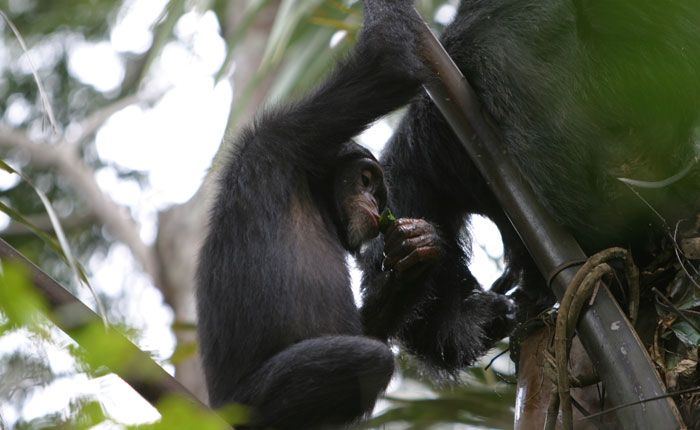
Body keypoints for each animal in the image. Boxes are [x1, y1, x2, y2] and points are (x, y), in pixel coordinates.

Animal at [194, 1, 512, 428]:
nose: (375, 205)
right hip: (243, 403)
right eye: (364, 180)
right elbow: (385, 62)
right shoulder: (283, 136)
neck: (314, 192)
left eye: (378, 191)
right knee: (369, 360)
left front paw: (416, 258)